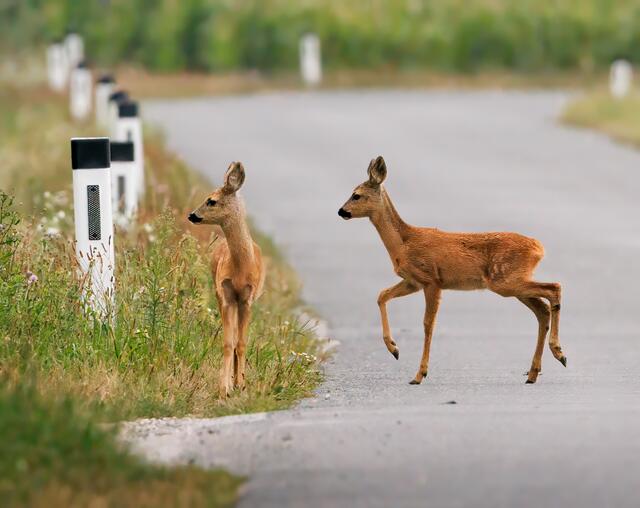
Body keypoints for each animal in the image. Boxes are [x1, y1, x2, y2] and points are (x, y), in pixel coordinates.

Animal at [188, 162, 265, 397]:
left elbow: (241, 343)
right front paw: (225, 388)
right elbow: (227, 343)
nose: (191, 215)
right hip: (217, 293)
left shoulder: (247, 298)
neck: (241, 268)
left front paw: (241, 384)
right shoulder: (227, 295)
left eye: (211, 200)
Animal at [338, 156, 565, 385]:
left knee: (554, 288)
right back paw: (534, 373)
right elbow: (382, 295)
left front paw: (419, 374)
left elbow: (428, 324)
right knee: (542, 310)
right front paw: (394, 349)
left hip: (505, 280)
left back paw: (558, 352)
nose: (341, 211)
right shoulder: (413, 281)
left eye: (356, 195)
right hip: (513, 282)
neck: (403, 243)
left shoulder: (432, 280)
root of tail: (538, 248)